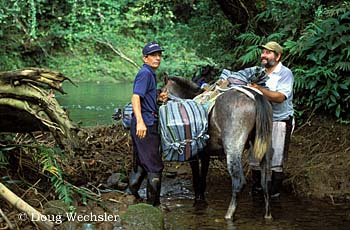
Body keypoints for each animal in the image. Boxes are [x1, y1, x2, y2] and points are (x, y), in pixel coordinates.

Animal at [161, 76, 274, 220]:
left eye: (161, 91)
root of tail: (255, 96)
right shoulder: (205, 155)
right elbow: (203, 179)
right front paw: (201, 200)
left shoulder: (194, 156)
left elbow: (196, 180)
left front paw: (197, 200)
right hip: (265, 147)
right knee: (266, 182)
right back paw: (268, 215)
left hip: (233, 149)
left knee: (239, 182)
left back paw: (229, 214)